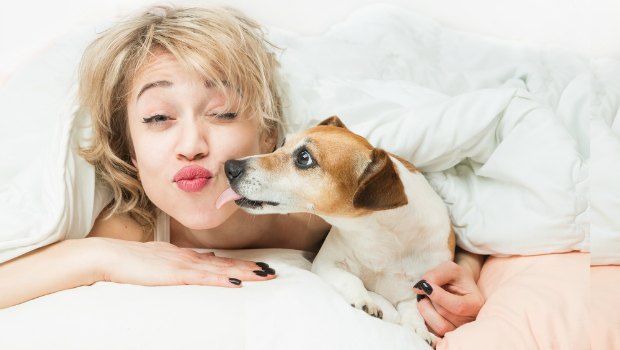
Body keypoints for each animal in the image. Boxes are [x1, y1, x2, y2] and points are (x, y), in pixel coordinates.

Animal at [220, 115, 452, 344]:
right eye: (283, 143)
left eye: (304, 158)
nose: (230, 166)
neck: (377, 236)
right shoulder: (326, 263)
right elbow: (351, 278)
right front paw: (365, 299)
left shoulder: (416, 285)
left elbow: (414, 307)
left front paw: (419, 329)